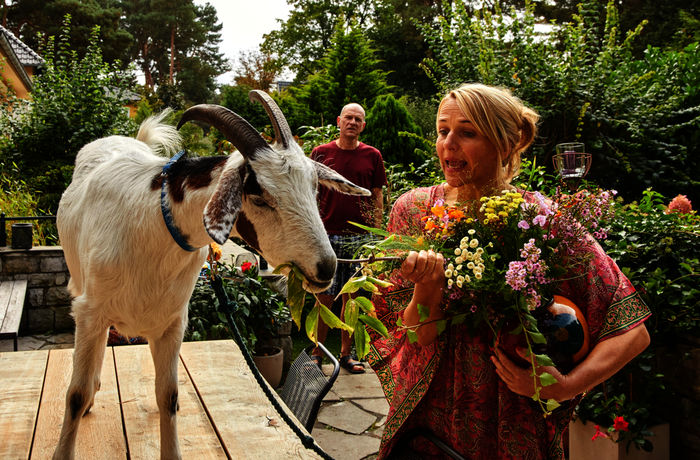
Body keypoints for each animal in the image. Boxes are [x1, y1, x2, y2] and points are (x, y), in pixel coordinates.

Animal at [53, 90, 372, 460]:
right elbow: (74, 396)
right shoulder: (90, 311)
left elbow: (169, 396)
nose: (326, 267)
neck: (154, 222)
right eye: (258, 194)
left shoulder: (172, 321)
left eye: (314, 188)